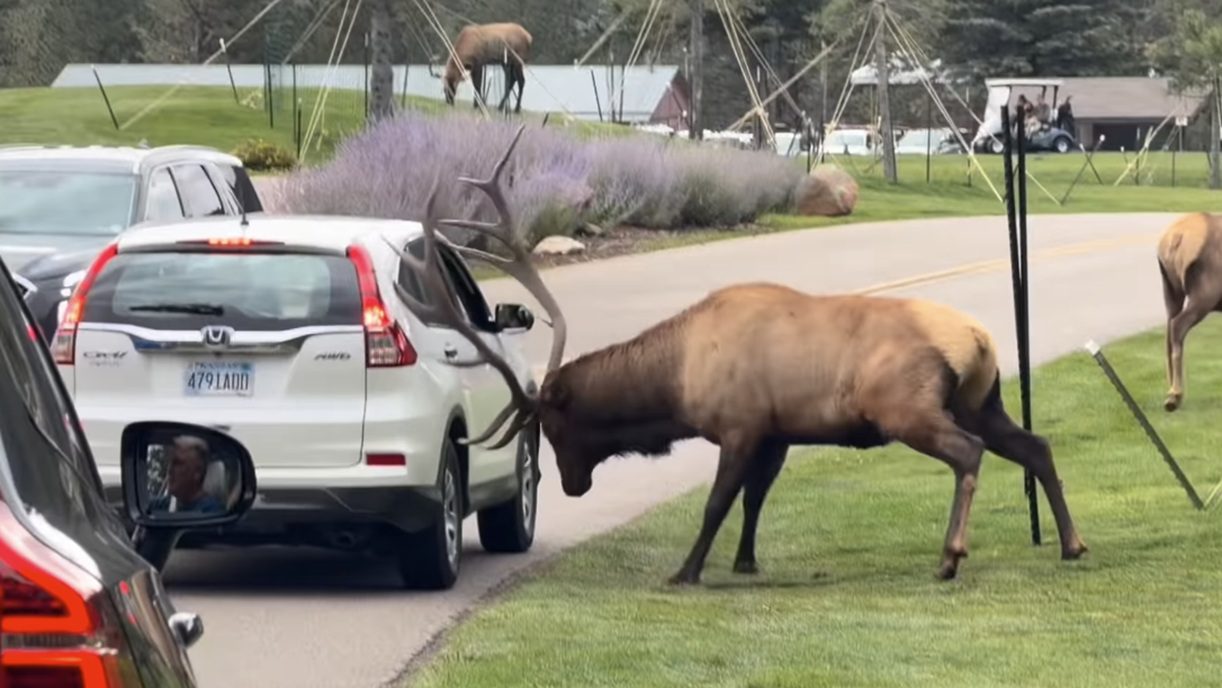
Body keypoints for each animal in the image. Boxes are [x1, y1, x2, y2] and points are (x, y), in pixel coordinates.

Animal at [389, 125, 1088, 586]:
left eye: (556, 423)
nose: (572, 484)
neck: (676, 381)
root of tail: (980, 340)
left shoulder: (739, 423)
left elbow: (718, 503)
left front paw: (686, 571)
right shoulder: (776, 431)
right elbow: (754, 501)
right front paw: (745, 561)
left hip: (908, 407)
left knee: (968, 455)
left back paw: (950, 557)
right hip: (984, 399)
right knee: (1037, 445)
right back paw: (1072, 544)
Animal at [1157, 211, 1222, 412]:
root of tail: (1175, 238)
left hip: (1170, 288)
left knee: (1169, 328)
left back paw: (1171, 393)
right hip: (1205, 293)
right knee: (1178, 325)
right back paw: (1176, 394)